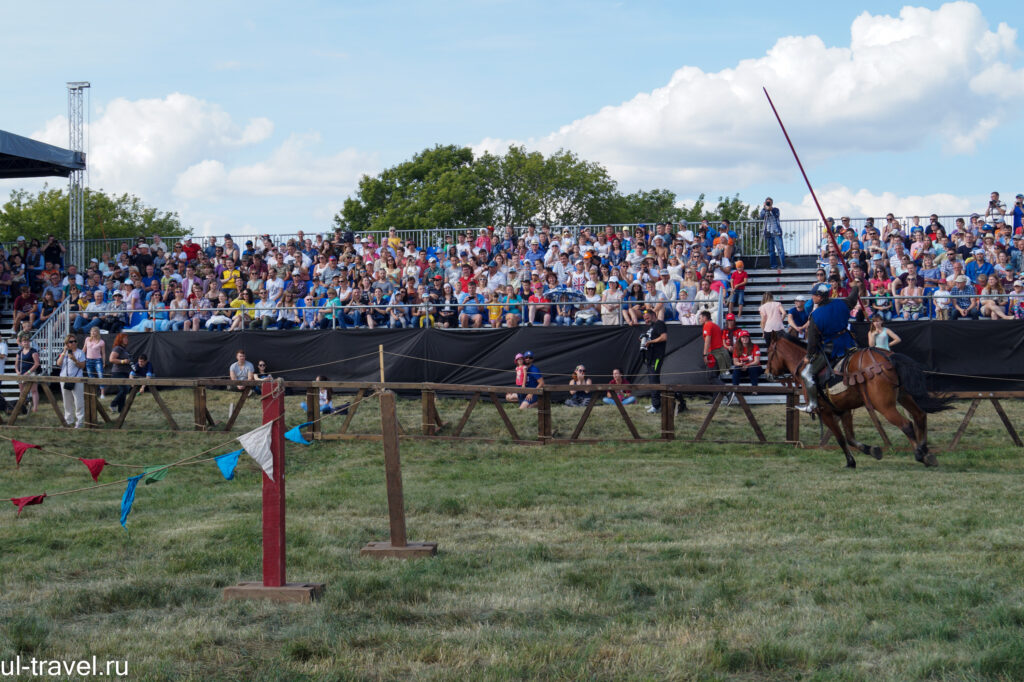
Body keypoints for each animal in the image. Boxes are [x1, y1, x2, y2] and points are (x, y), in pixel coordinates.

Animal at [765, 333, 946, 466]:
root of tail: (888, 357)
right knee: (920, 416)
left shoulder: (825, 412)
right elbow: (850, 438)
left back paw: (920, 455)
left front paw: (851, 462)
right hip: (904, 397)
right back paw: (925, 451)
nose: (767, 373)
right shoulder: (844, 410)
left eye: (770, 351)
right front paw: (872, 450)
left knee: (906, 424)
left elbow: (840, 438)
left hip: (884, 405)